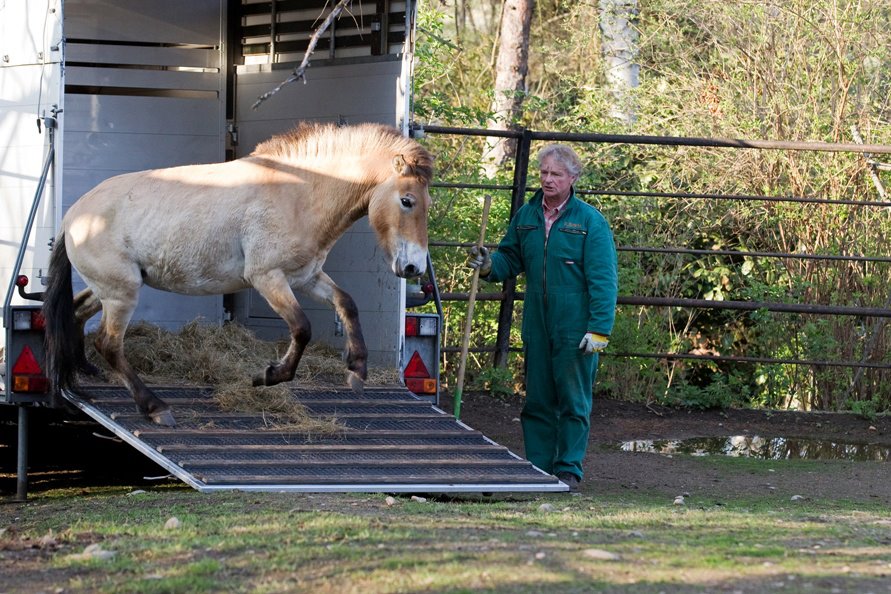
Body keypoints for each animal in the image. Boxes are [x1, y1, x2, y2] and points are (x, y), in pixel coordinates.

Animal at [44, 121, 436, 426]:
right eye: (407, 201)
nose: (413, 267)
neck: (298, 194)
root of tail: (72, 216)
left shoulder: (306, 278)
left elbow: (347, 304)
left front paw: (357, 370)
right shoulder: (268, 278)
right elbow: (302, 328)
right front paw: (268, 376)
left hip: (111, 290)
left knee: (76, 313)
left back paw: (82, 378)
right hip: (122, 293)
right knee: (109, 344)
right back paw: (155, 408)